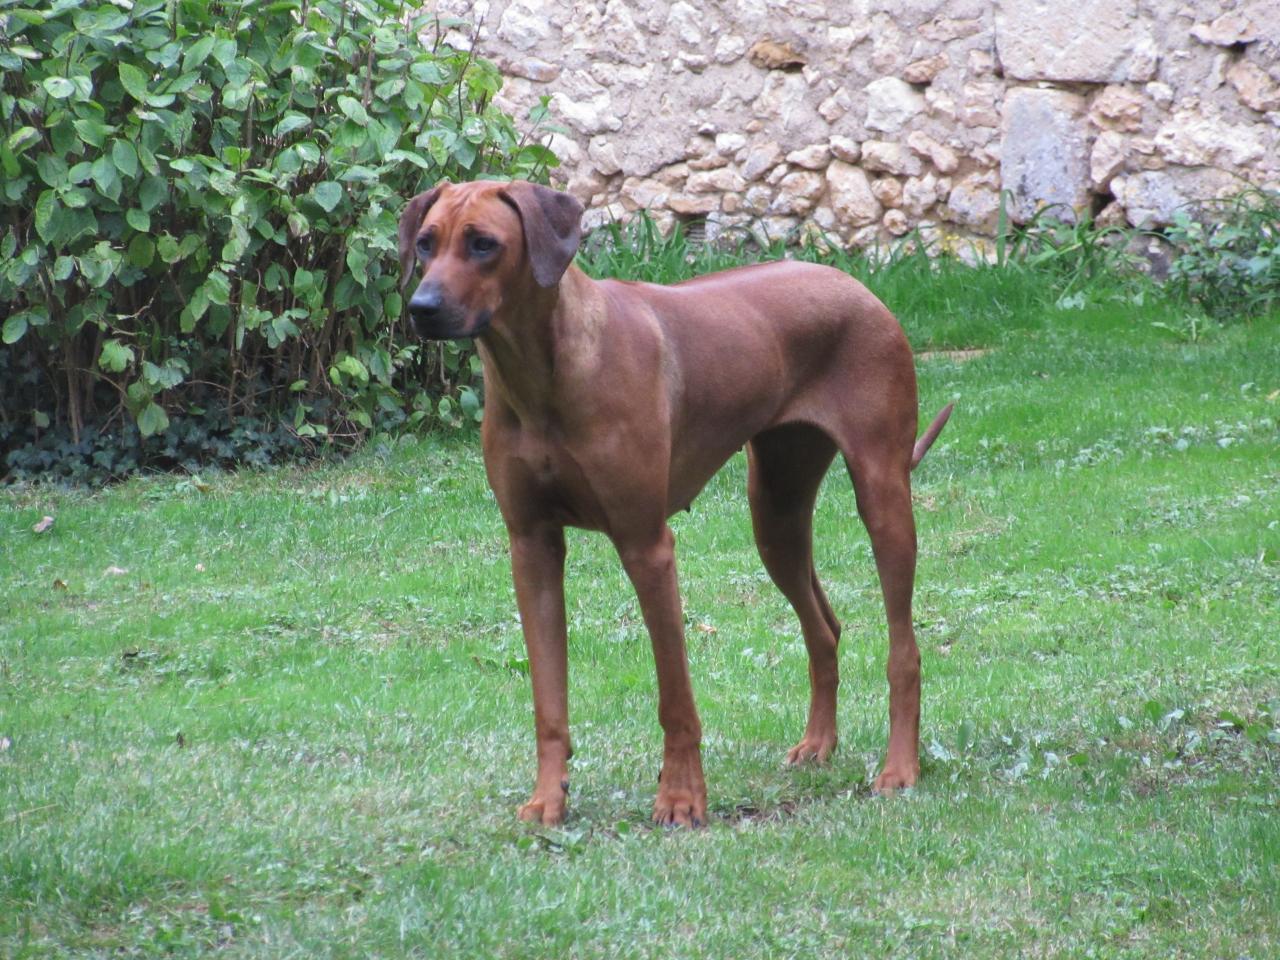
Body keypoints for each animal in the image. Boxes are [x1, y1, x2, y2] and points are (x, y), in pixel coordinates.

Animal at [399, 180, 952, 829]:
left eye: (483, 244)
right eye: (426, 243)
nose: (421, 308)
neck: (542, 373)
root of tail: (856, 284)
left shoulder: (647, 547)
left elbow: (675, 698)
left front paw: (682, 798)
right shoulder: (530, 548)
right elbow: (548, 698)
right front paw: (548, 798)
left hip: (881, 496)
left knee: (903, 650)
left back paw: (899, 768)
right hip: (776, 513)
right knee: (824, 627)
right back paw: (819, 743)